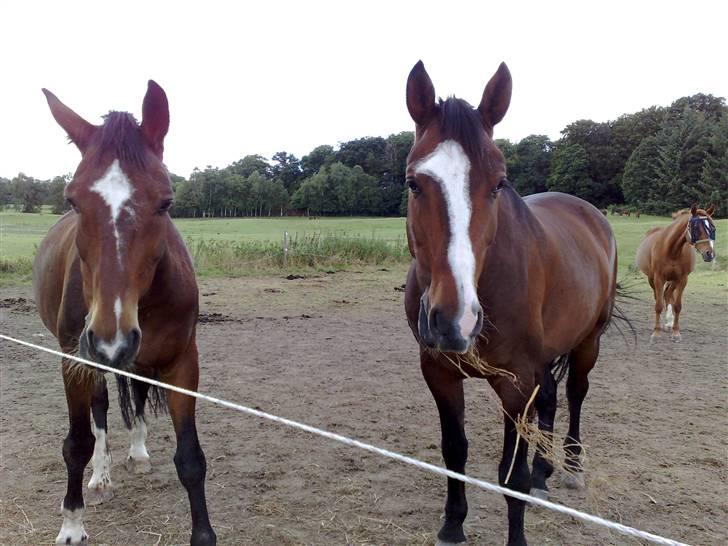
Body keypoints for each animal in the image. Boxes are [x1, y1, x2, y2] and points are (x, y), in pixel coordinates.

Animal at [34, 81, 216, 544]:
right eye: (72, 200)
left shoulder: (182, 363)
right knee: (99, 415)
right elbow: (78, 442)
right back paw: (101, 477)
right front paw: (72, 524)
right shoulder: (75, 361)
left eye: (166, 202)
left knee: (133, 396)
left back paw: (137, 451)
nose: (110, 338)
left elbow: (191, 458)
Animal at [400, 61, 616, 544]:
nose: (455, 321)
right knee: (551, 399)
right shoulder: (438, 371)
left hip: (588, 342)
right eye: (413, 183)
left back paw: (570, 466)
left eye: (499, 183)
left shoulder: (515, 382)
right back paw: (544, 471)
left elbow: (509, 477)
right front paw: (452, 524)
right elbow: (454, 452)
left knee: (575, 393)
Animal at [636, 204, 716, 340]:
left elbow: (677, 306)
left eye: (712, 227)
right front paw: (656, 332)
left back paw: (669, 323)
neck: (672, 249)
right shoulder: (658, 278)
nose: (709, 254)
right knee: (660, 296)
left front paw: (676, 332)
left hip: (673, 280)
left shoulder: (682, 279)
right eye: (695, 228)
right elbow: (658, 305)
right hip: (652, 279)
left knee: (668, 294)